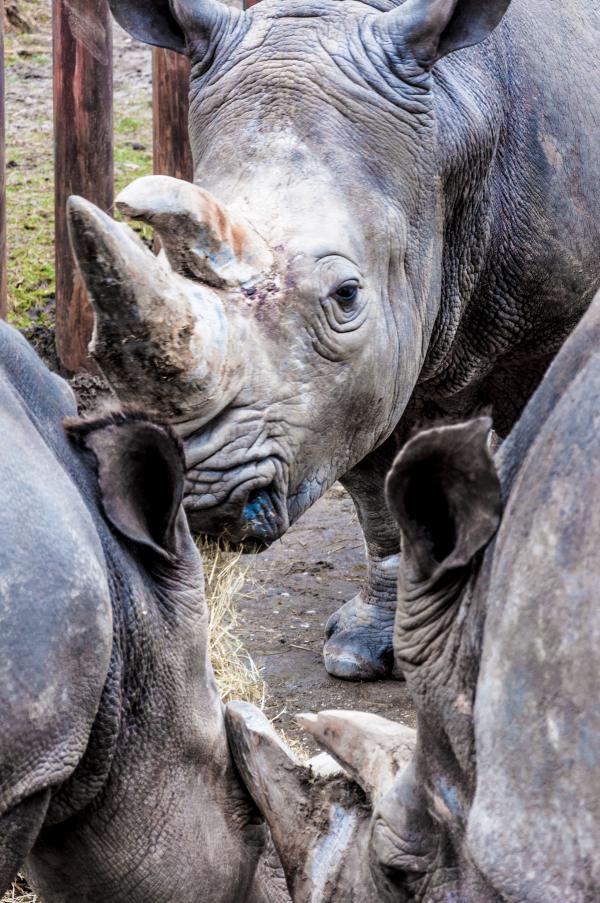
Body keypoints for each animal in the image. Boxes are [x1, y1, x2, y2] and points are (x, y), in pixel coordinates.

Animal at [70, 0, 600, 681]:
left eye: (347, 294)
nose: (204, 502)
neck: (448, 118)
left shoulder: (543, 330)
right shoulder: (355, 383)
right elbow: (377, 498)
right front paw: (363, 648)